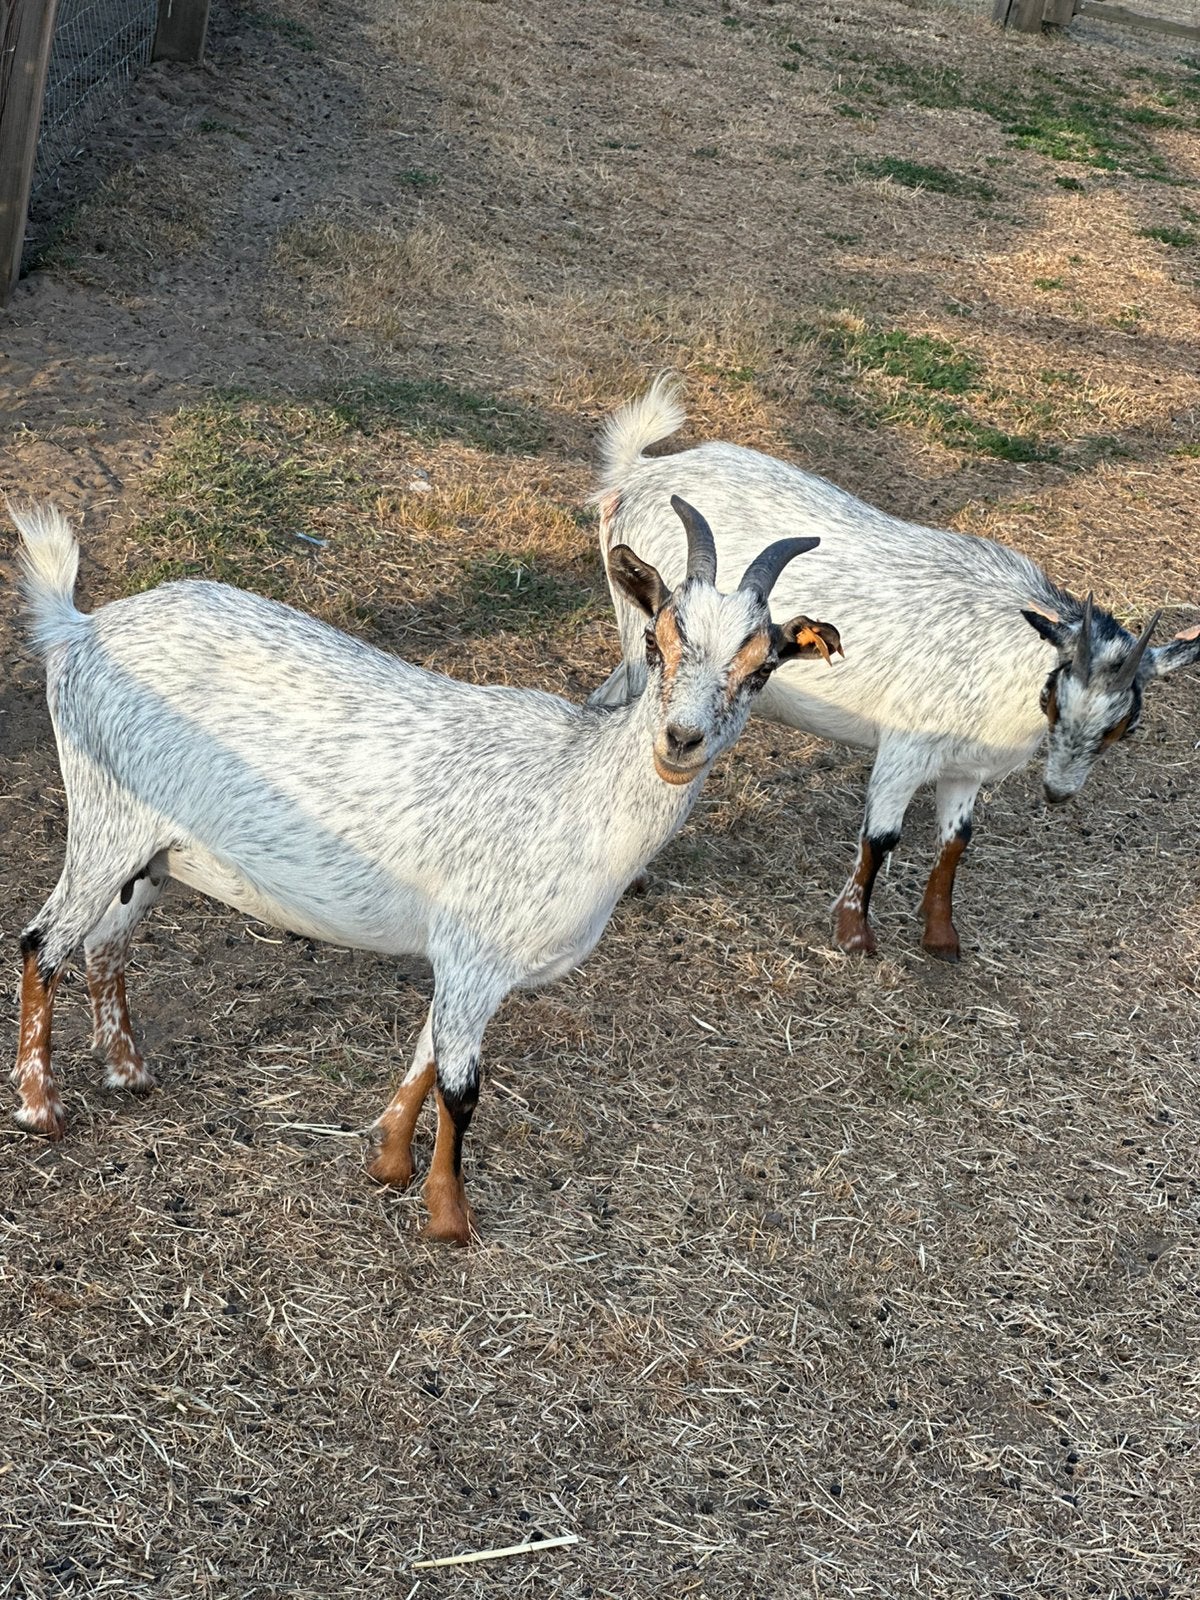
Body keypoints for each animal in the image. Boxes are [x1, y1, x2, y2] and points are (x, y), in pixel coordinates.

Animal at [9, 500, 840, 1244]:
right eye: (655, 639)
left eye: (762, 667)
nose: (680, 740)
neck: (579, 789)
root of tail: (79, 628)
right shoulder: (477, 952)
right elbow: (460, 1087)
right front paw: (450, 1217)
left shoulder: (464, 963)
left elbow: (424, 1056)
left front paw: (388, 1163)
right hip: (105, 816)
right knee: (43, 941)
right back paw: (40, 1108)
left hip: (154, 849)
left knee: (104, 944)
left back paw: (128, 1070)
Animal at [592, 377, 1200, 960]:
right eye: (1055, 696)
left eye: (1125, 726)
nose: (1058, 793)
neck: (1004, 647)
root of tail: (638, 472)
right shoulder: (906, 749)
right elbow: (882, 837)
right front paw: (854, 934)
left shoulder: (965, 768)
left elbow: (956, 841)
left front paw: (942, 937)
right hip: (640, 633)